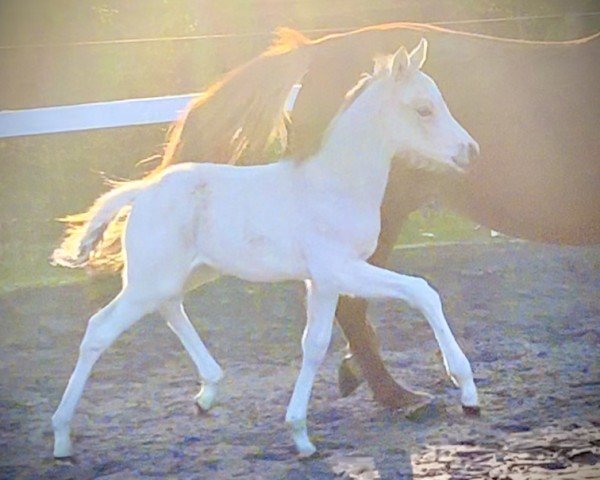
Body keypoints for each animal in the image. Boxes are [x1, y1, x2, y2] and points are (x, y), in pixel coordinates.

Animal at [50, 37, 478, 458]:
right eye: (424, 109)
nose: (470, 151)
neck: (334, 184)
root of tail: (143, 191)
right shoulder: (340, 269)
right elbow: (422, 292)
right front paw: (466, 388)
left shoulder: (323, 282)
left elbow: (314, 345)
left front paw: (300, 434)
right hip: (149, 281)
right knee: (100, 329)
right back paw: (62, 436)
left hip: (188, 274)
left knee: (170, 308)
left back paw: (208, 390)